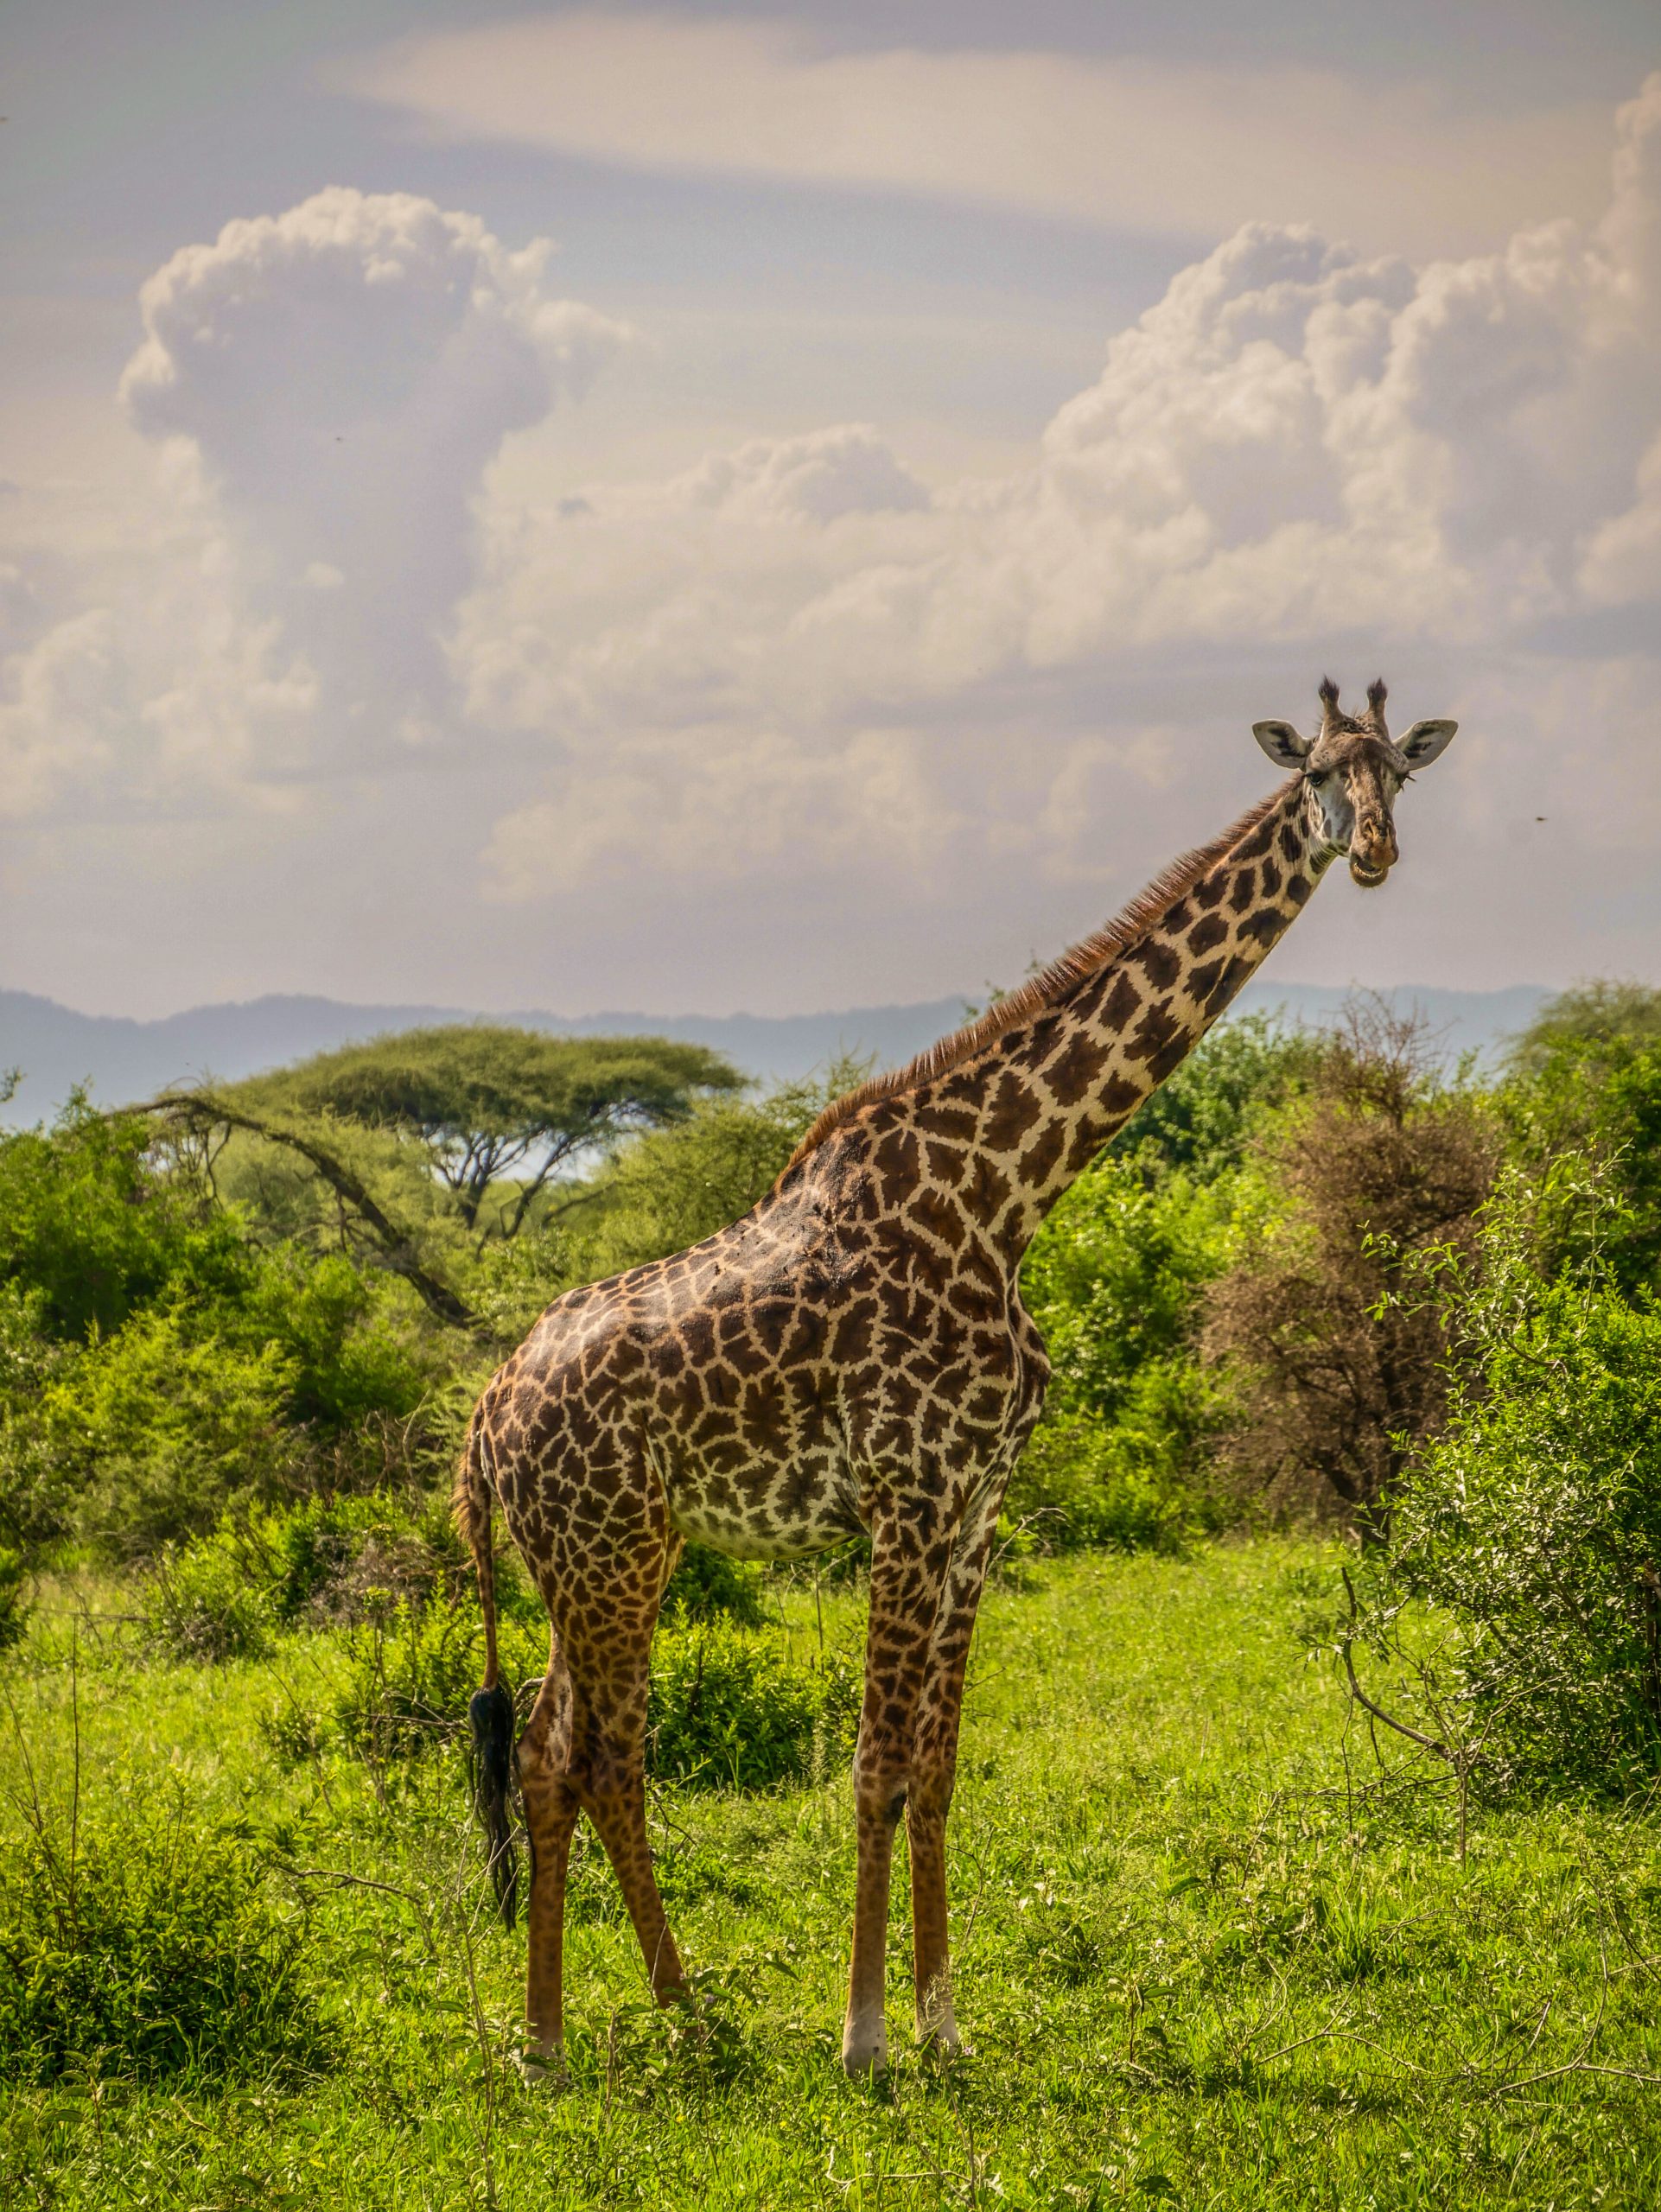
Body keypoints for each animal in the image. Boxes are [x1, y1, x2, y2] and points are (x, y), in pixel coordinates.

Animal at [457, 677, 1457, 2078]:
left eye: (1398, 776)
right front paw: (863, 2037)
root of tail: (486, 1422)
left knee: (580, 1752)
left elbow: (934, 1768)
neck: (1006, 1195)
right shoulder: (905, 1494)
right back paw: (561, 2040)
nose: (1369, 850)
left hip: (597, 1557)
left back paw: (670, 2011)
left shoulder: (978, 1504)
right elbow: (872, 1765)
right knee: (576, 1752)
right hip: (609, 1552)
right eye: (1315, 769)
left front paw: (941, 2026)